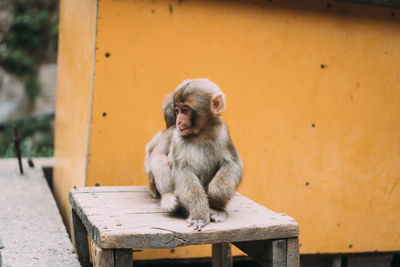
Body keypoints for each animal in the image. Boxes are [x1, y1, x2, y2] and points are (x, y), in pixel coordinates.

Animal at [145, 78, 242, 231]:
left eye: (185, 110)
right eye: (177, 110)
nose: (178, 121)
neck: (200, 133)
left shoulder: (222, 130)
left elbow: (232, 163)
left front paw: (216, 199)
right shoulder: (178, 138)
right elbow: (182, 170)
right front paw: (199, 215)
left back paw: (218, 210)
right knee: (160, 159)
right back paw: (168, 198)